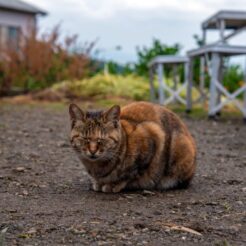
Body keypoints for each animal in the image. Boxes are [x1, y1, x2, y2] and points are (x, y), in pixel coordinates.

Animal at [68, 101, 196, 192]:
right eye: (85, 139)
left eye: (102, 139)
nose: (93, 150)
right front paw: (98, 183)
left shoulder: (154, 134)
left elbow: (132, 173)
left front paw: (113, 184)